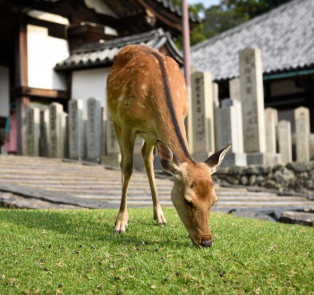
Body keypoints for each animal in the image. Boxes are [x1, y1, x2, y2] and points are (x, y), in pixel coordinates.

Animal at [106, 44, 231, 247]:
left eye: (214, 200)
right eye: (188, 201)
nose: (206, 241)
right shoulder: (127, 123)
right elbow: (128, 167)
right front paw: (120, 223)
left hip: (151, 135)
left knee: (147, 158)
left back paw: (160, 216)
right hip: (116, 120)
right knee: (125, 161)